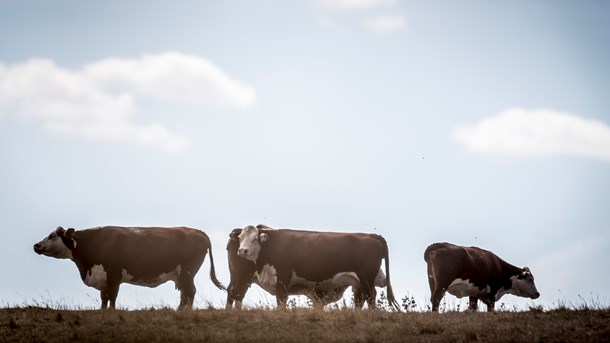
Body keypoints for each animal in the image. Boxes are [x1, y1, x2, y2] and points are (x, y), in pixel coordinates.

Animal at [32, 227, 226, 310]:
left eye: (52, 236)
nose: (36, 245)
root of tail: (198, 231)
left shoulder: (114, 275)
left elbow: (112, 296)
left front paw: (112, 312)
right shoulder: (103, 277)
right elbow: (104, 298)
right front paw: (103, 311)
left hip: (187, 272)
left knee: (190, 291)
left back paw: (185, 312)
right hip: (183, 274)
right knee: (185, 293)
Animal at [230, 224, 396, 310]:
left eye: (255, 239)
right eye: (241, 238)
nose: (242, 251)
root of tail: (373, 236)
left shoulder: (283, 277)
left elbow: (281, 299)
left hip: (366, 278)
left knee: (370, 297)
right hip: (362, 281)